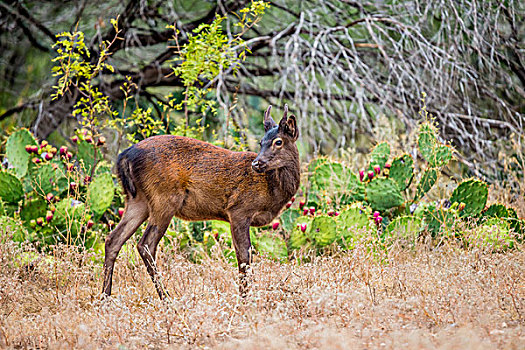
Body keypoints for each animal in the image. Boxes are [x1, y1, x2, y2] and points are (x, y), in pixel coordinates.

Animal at [101, 104, 298, 298]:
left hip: (138, 200)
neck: (272, 190)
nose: (256, 163)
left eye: (278, 141)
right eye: (261, 143)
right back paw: (166, 297)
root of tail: (124, 156)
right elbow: (244, 256)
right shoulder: (239, 209)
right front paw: (244, 298)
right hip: (164, 198)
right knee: (145, 244)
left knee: (113, 239)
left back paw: (105, 296)